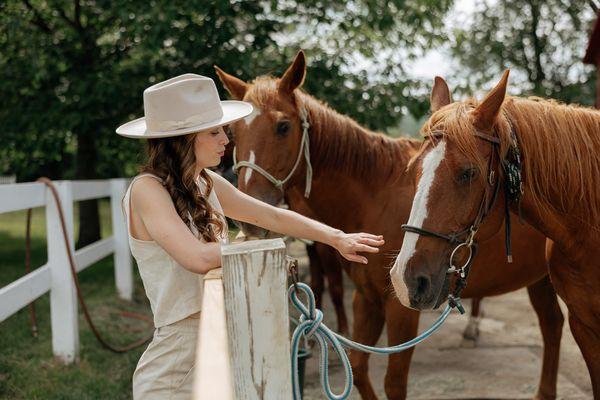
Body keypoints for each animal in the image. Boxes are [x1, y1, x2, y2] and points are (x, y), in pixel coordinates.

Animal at [218, 53, 564, 400]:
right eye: (233, 133)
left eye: (283, 126)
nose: (247, 214)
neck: (374, 194)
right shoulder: (366, 299)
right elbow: (358, 368)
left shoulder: (402, 309)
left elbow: (393, 383)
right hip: (540, 278)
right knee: (553, 324)